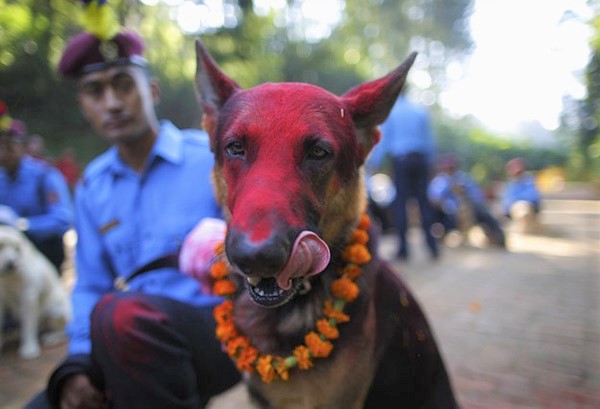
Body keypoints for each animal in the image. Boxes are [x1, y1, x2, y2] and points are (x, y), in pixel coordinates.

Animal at [0, 225, 72, 358]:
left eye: (16, 248)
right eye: (1, 246)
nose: (11, 264)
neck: (7, 278)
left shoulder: (28, 297)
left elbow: (28, 325)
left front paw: (29, 348)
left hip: (55, 311)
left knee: (65, 332)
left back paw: (52, 338)